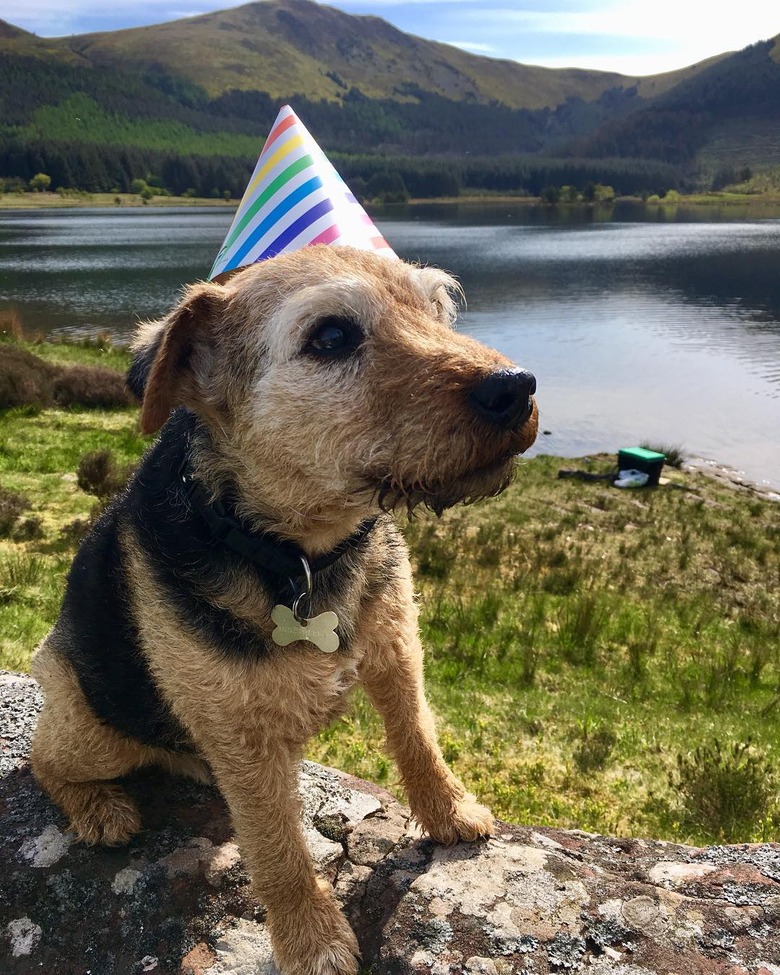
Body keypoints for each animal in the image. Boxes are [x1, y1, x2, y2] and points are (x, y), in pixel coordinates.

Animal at [33, 246, 540, 975]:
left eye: (438, 308)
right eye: (331, 336)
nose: (516, 387)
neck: (300, 555)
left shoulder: (396, 645)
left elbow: (417, 734)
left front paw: (452, 811)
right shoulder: (244, 738)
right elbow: (278, 848)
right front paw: (313, 940)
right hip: (90, 724)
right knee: (45, 761)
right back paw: (100, 808)